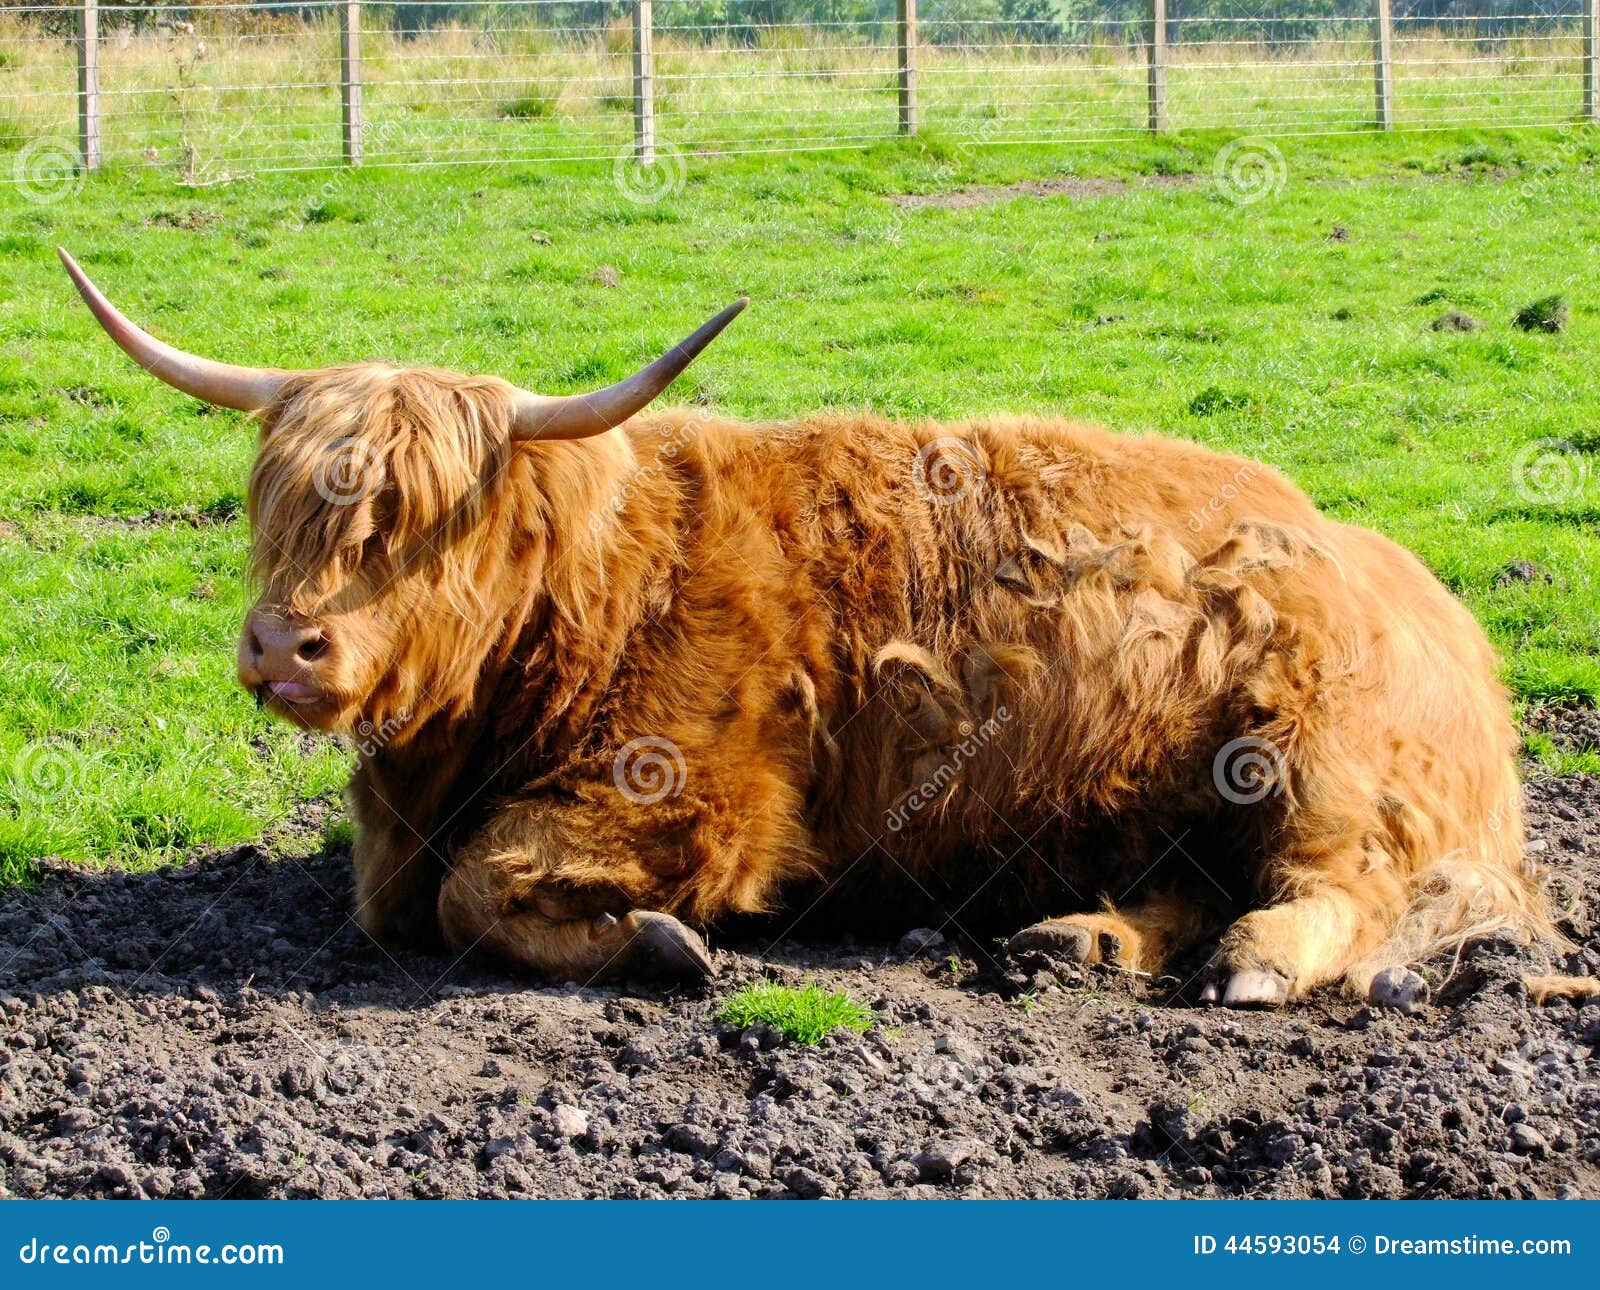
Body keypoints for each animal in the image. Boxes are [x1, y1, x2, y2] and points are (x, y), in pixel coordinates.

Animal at [60, 248, 1555, 1008]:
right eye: (277, 508)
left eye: (426, 521)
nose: (282, 647)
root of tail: (1416, 584)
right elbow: (397, 905)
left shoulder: (695, 800)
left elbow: (477, 889)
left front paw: (657, 944)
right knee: (1191, 876)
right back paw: (1078, 940)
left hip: (1312, 749)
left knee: (1338, 882)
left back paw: (1253, 964)